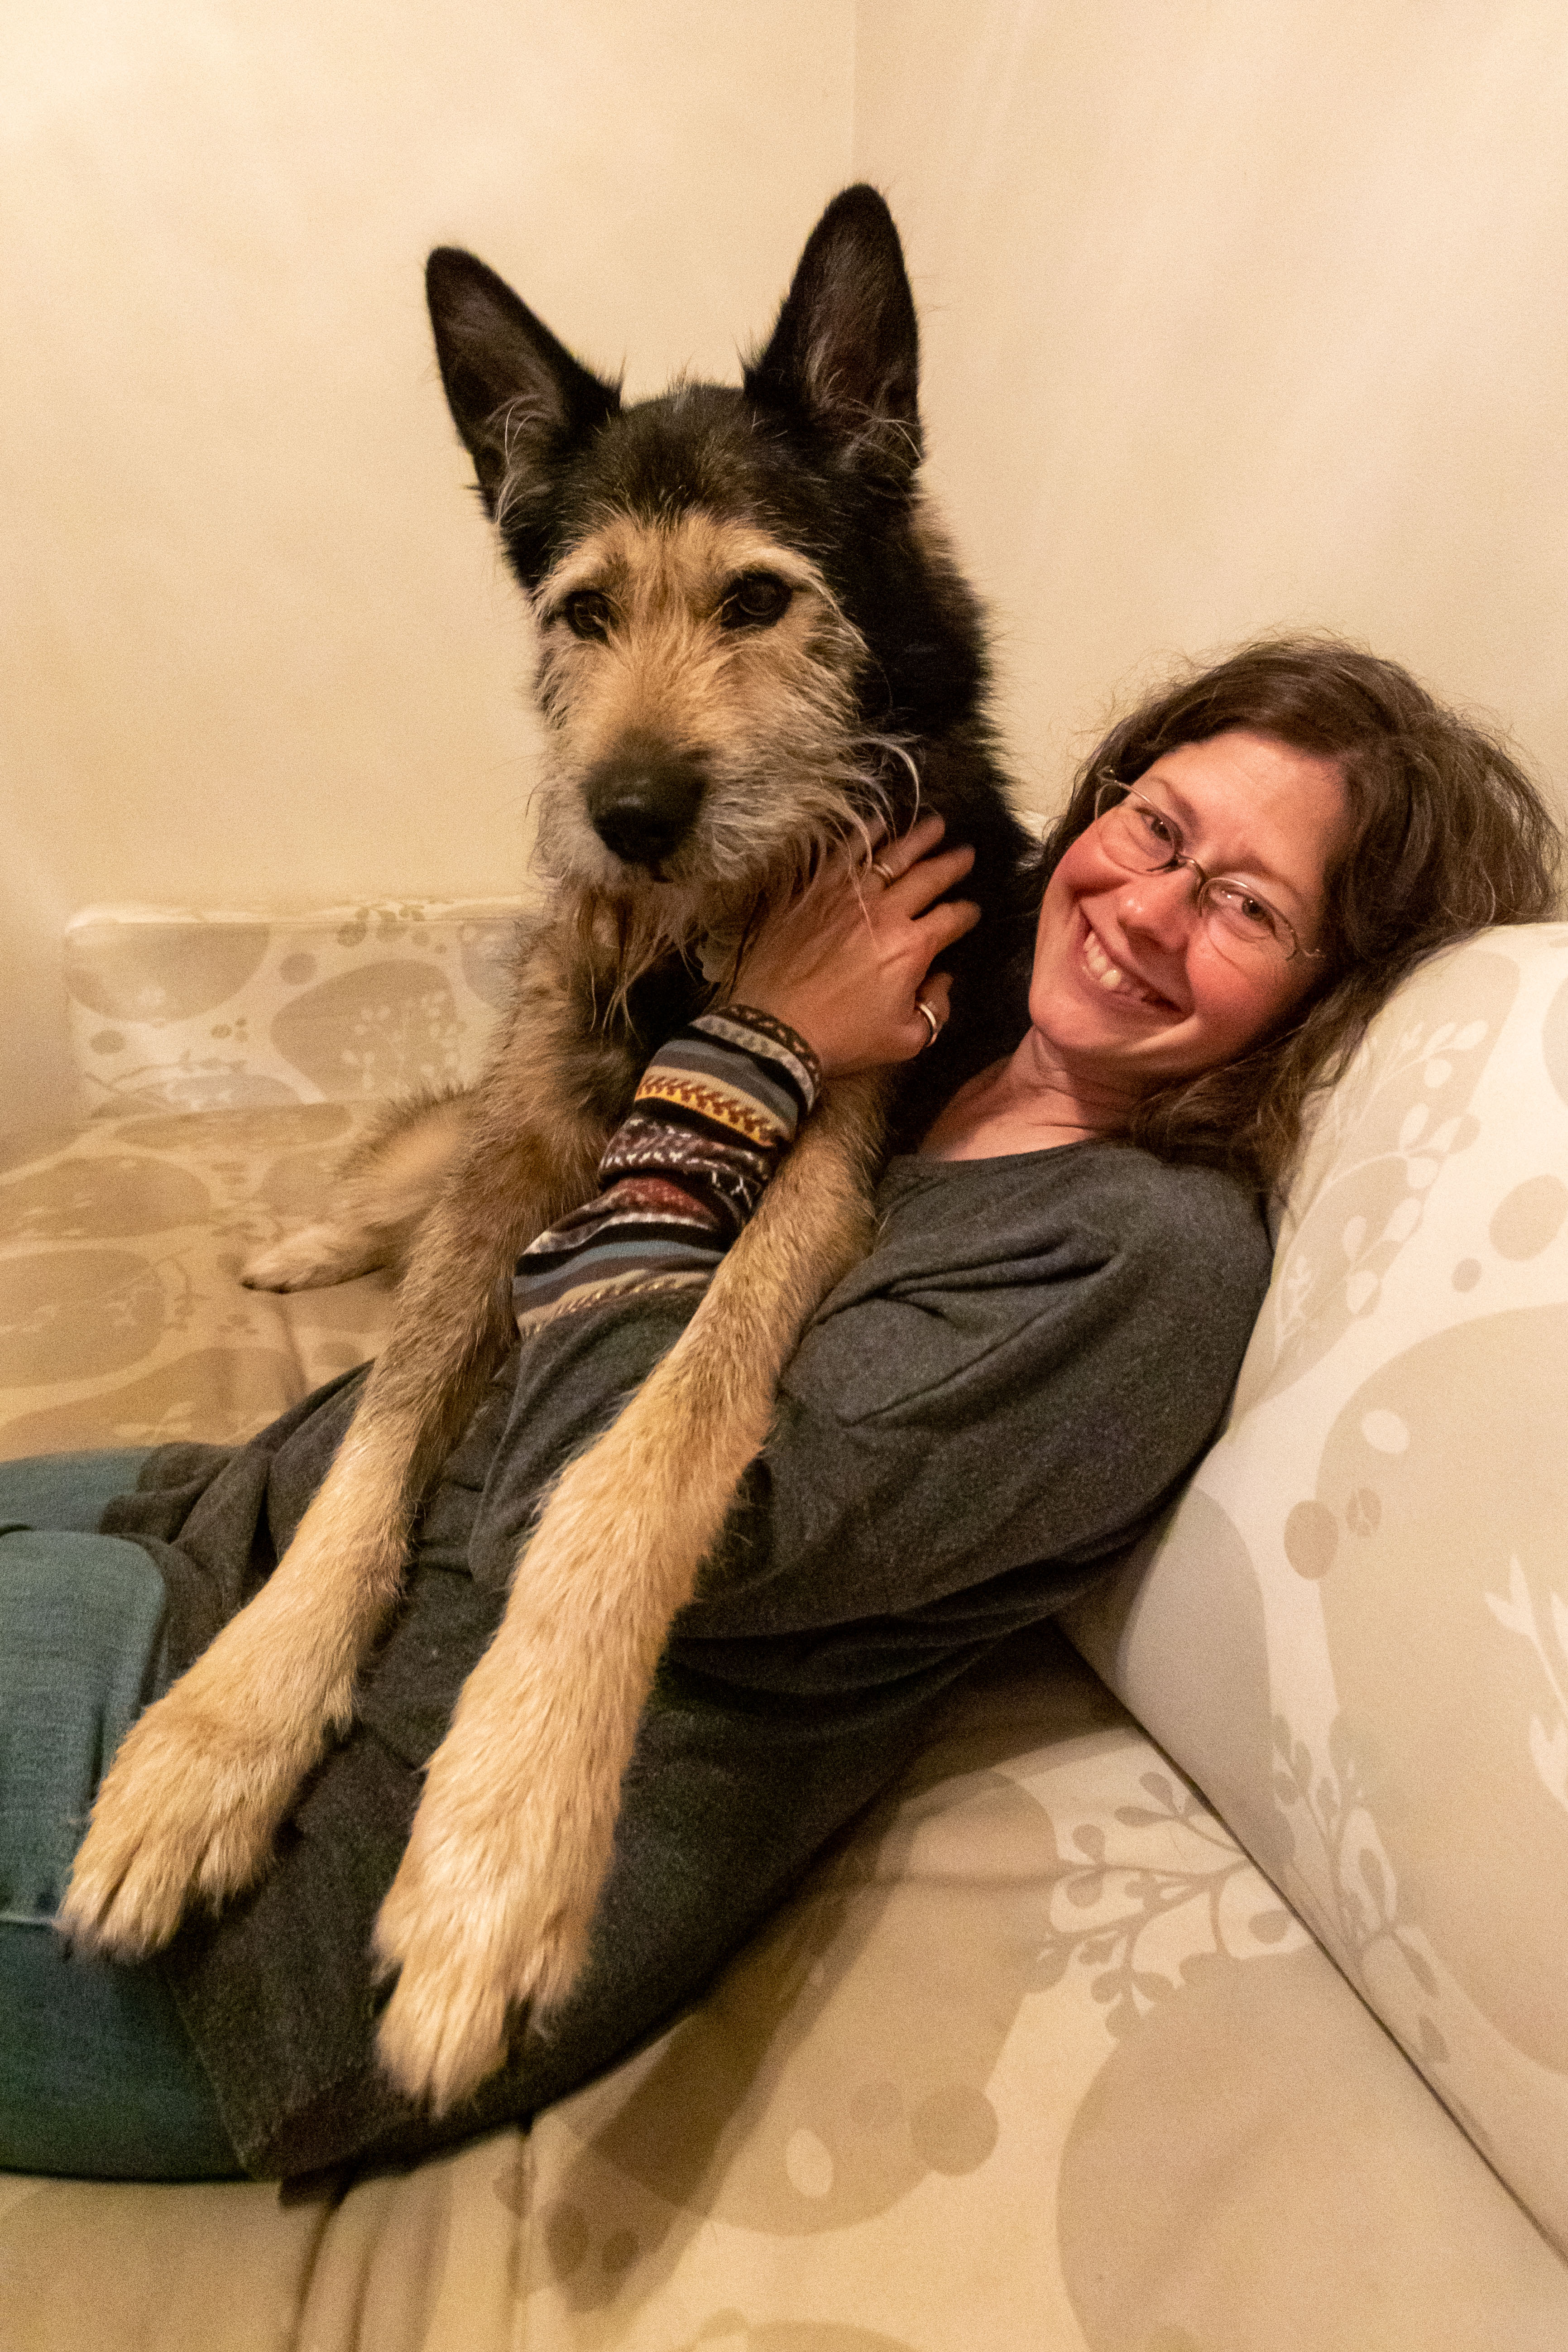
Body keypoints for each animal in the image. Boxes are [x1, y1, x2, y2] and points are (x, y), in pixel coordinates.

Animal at [67, 178, 1034, 2098]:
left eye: (758, 596)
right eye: (582, 614)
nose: (625, 815)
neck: (708, 946)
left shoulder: (829, 1162)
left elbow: (648, 1447)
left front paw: (500, 1840)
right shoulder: (515, 1163)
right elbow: (376, 1445)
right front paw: (215, 1739)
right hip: (475, 1114)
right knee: (388, 1181)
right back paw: (296, 1242)